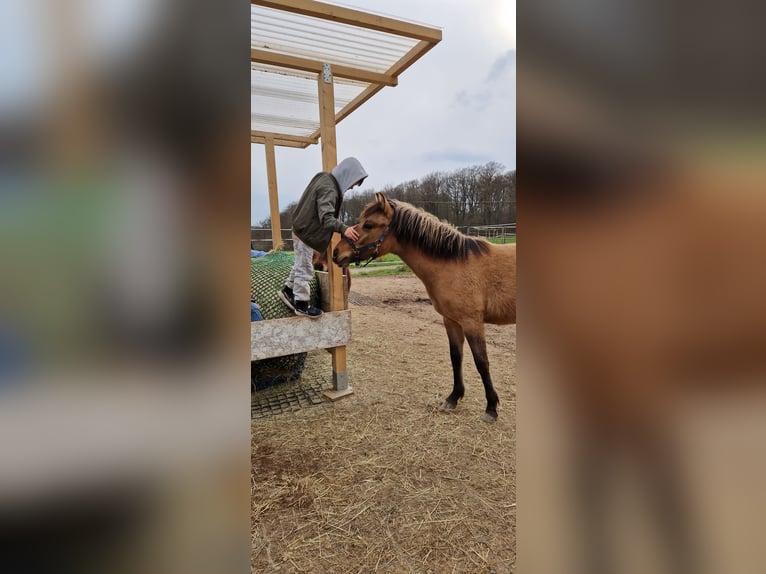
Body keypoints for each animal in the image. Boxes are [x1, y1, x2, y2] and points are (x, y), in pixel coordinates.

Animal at [334, 194, 520, 424]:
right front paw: (453, 398)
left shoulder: (472, 322)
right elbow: (456, 358)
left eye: (368, 224)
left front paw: (491, 408)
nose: (336, 252)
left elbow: (481, 362)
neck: (455, 263)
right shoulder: (451, 321)